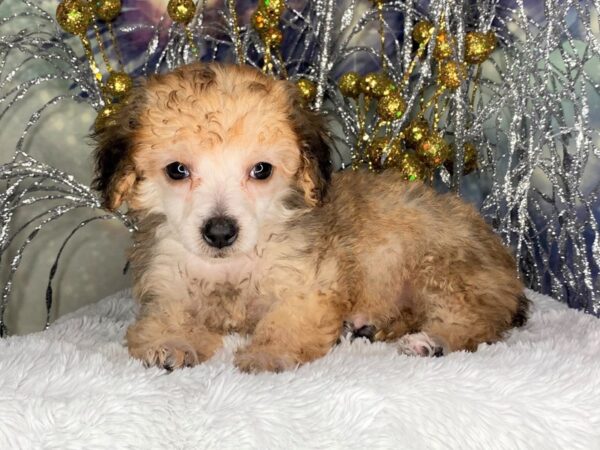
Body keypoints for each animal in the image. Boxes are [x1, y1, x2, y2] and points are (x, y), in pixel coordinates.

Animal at [91, 63, 528, 372]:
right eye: (177, 170)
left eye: (261, 170)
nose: (220, 232)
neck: (229, 269)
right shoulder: (167, 288)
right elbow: (164, 321)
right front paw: (173, 343)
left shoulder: (306, 286)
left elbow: (288, 321)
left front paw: (268, 353)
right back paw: (366, 326)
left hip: (441, 268)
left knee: (477, 325)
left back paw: (431, 342)